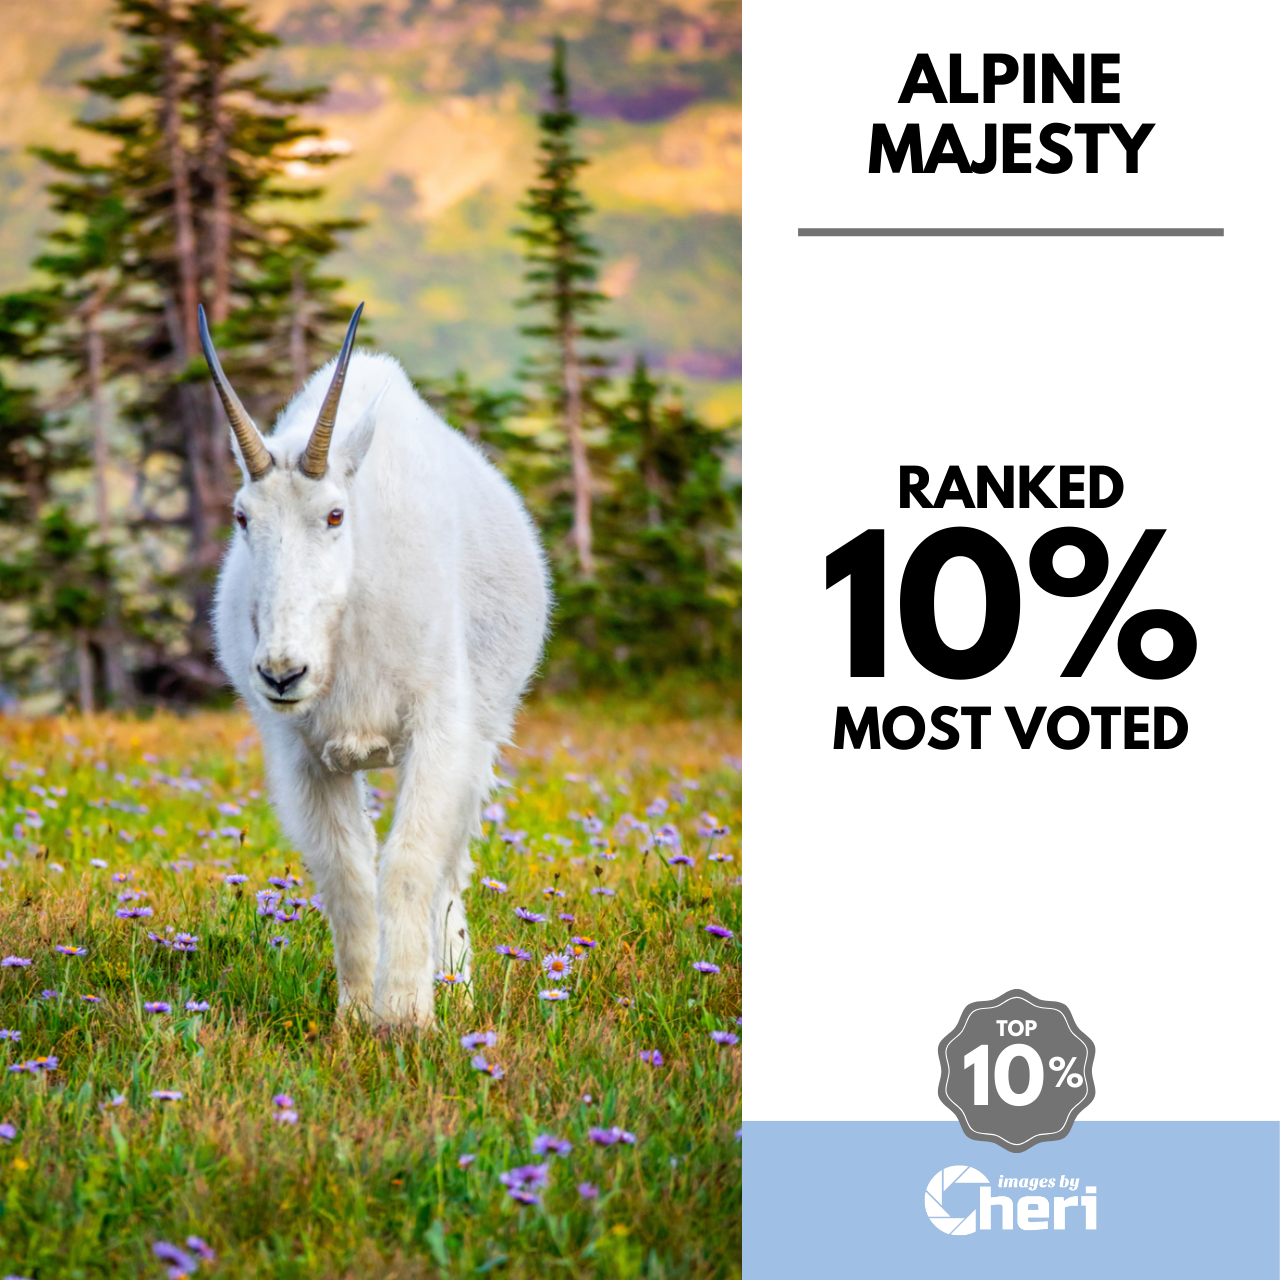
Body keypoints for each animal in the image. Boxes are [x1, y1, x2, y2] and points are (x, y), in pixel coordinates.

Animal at [203, 304, 549, 1027]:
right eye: (242, 517)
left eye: (334, 514)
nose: (282, 674)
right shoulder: (305, 755)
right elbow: (347, 875)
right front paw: (356, 1018)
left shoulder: (438, 731)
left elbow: (411, 864)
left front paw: (407, 1018)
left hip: (484, 734)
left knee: (451, 866)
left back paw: (457, 986)